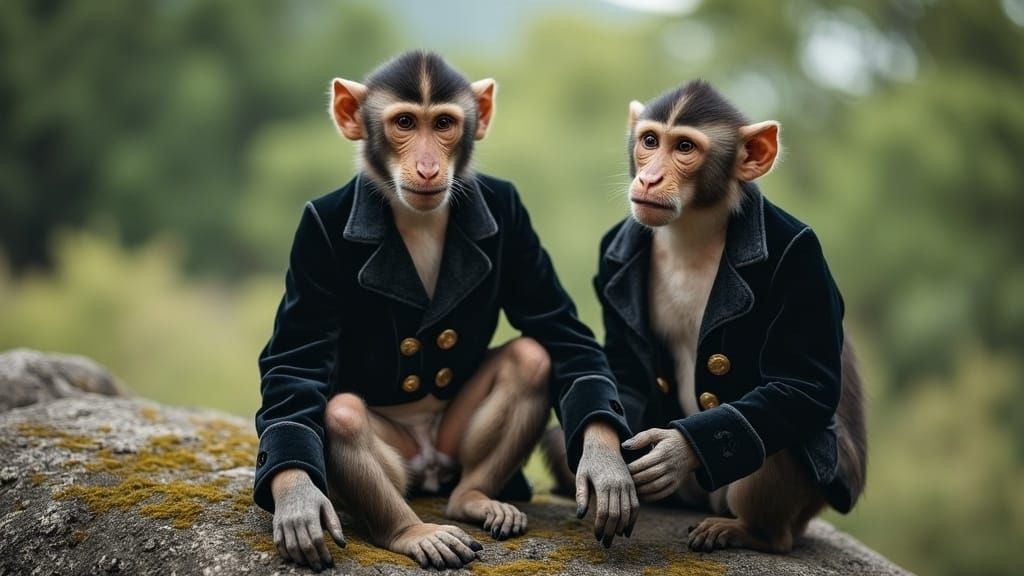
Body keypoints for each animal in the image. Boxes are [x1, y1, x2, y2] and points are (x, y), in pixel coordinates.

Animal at [252, 51, 638, 571]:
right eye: (404, 123)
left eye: (443, 124)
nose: (428, 165)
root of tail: (432, 468)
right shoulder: (312, 237)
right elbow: (295, 358)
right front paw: (295, 493)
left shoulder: (514, 215)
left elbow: (559, 327)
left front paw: (603, 457)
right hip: (406, 463)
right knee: (344, 416)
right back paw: (410, 531)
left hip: (452, 449)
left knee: (531, 360)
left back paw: (472, 499)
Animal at [585, 79, 868, 554]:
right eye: (649, 141)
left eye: (684, 147)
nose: (649, 177)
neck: (694, 227)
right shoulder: (612, 256)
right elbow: (624, 364)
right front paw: (604, 457)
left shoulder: (802, 257)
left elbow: (805, 383)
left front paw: (677, 450)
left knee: (772, 431)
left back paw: (754, 532)